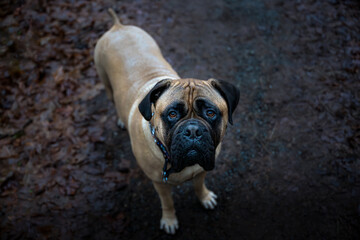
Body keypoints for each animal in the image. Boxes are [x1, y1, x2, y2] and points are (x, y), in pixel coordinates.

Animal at [94, 9, 239, 234]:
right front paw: (170, 220)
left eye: (210, 113)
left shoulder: (201, 169)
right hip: (106, 82)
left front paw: (205, 197)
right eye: (172, 114)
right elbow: (168, 202)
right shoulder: (159, 183)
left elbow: (199, 185)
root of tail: (118, 26)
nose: (193, 130)